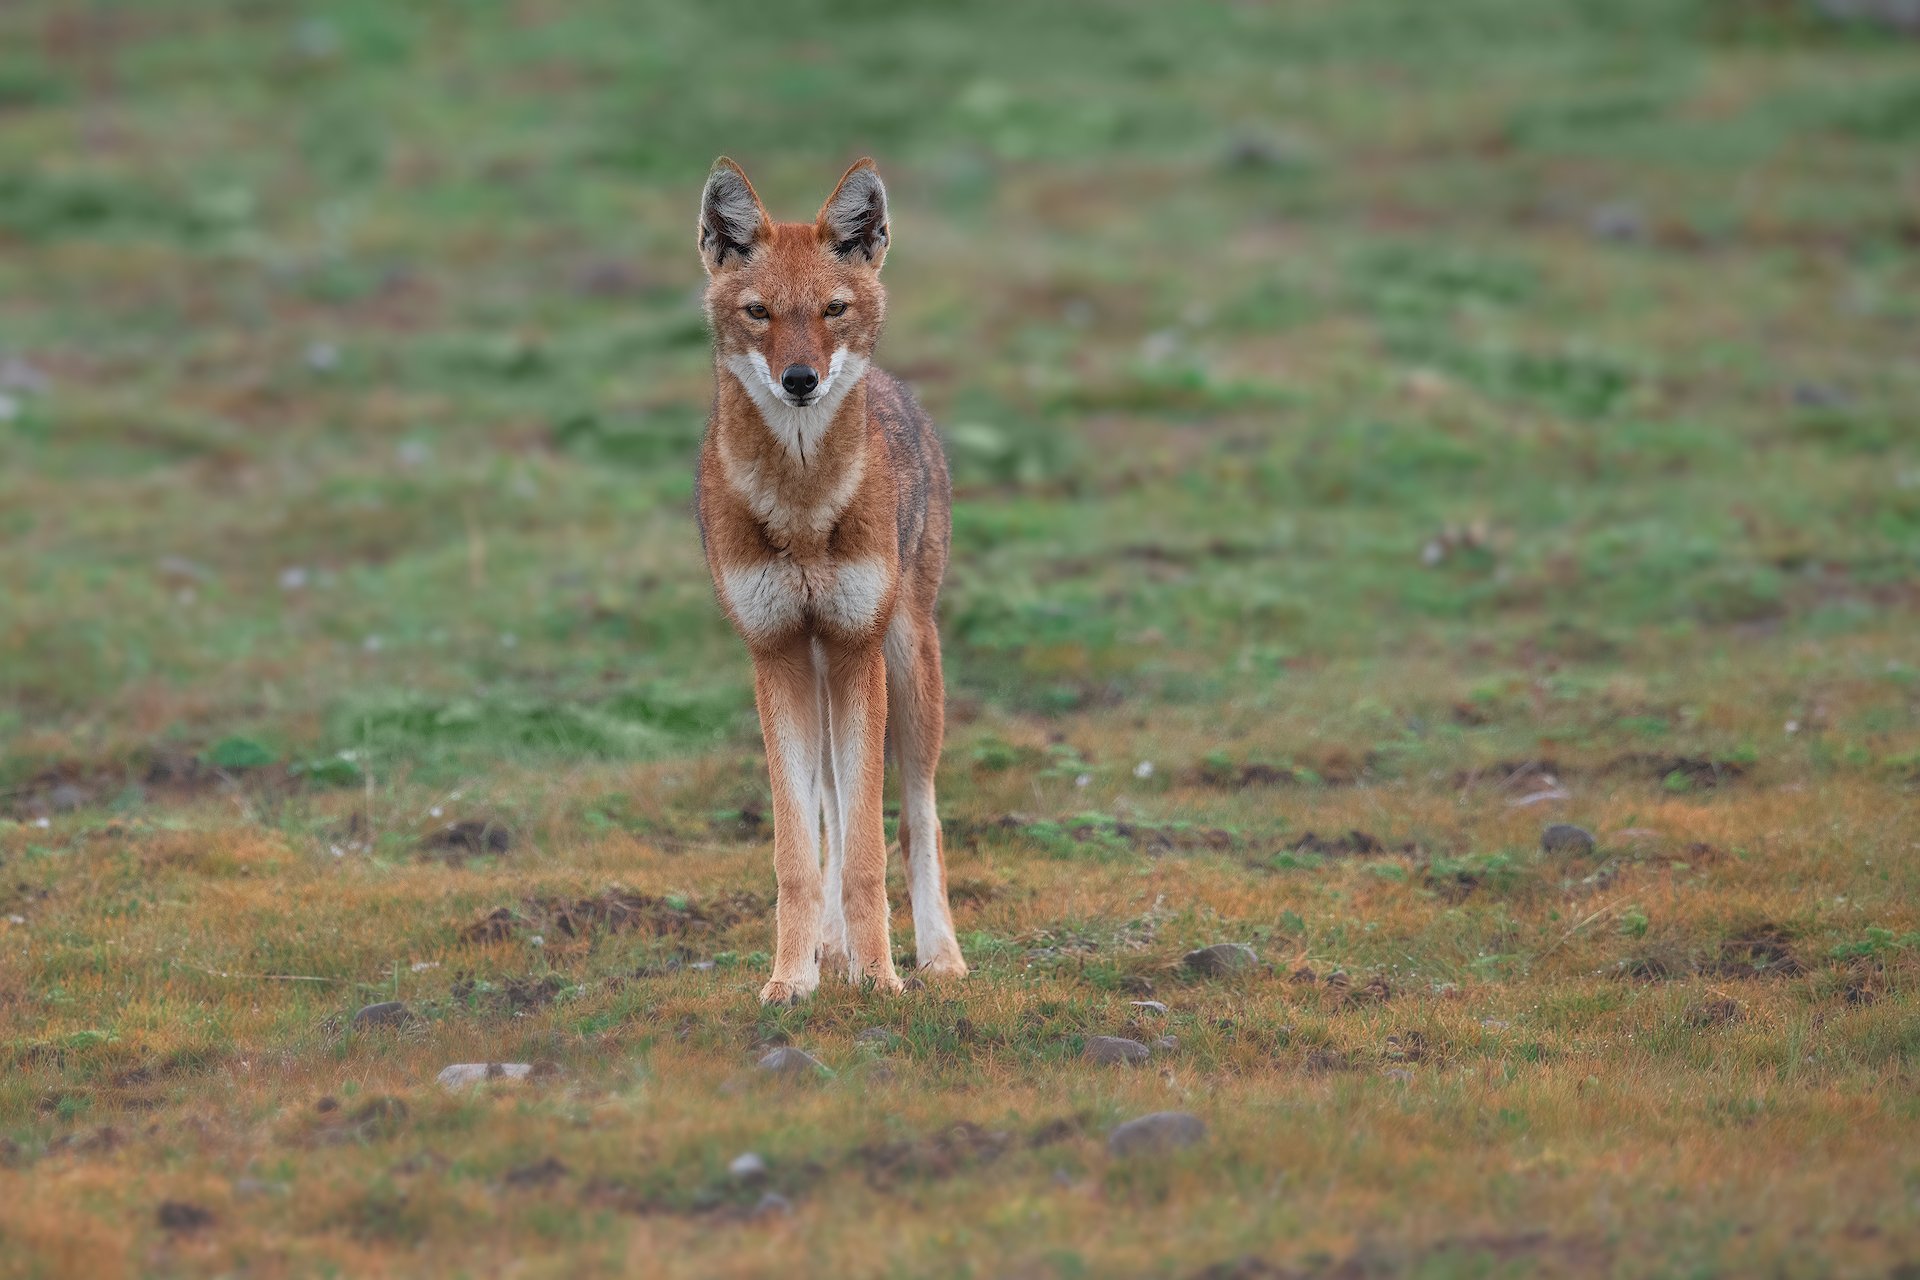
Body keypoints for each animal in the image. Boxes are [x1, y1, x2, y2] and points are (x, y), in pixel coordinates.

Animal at [693, 156, 967, 1005]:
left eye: (831, 310)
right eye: (759, 313)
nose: (800, 379)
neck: (806, 510)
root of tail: (900, 391)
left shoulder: (855, 651)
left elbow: (870, 853)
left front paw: (883, 980)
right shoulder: (777, 656)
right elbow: (798, 856)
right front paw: (791, 979)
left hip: (906, 668)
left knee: (914, 817)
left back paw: (938, 959)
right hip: (821, 683)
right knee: (830, 819)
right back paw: (832, 954)